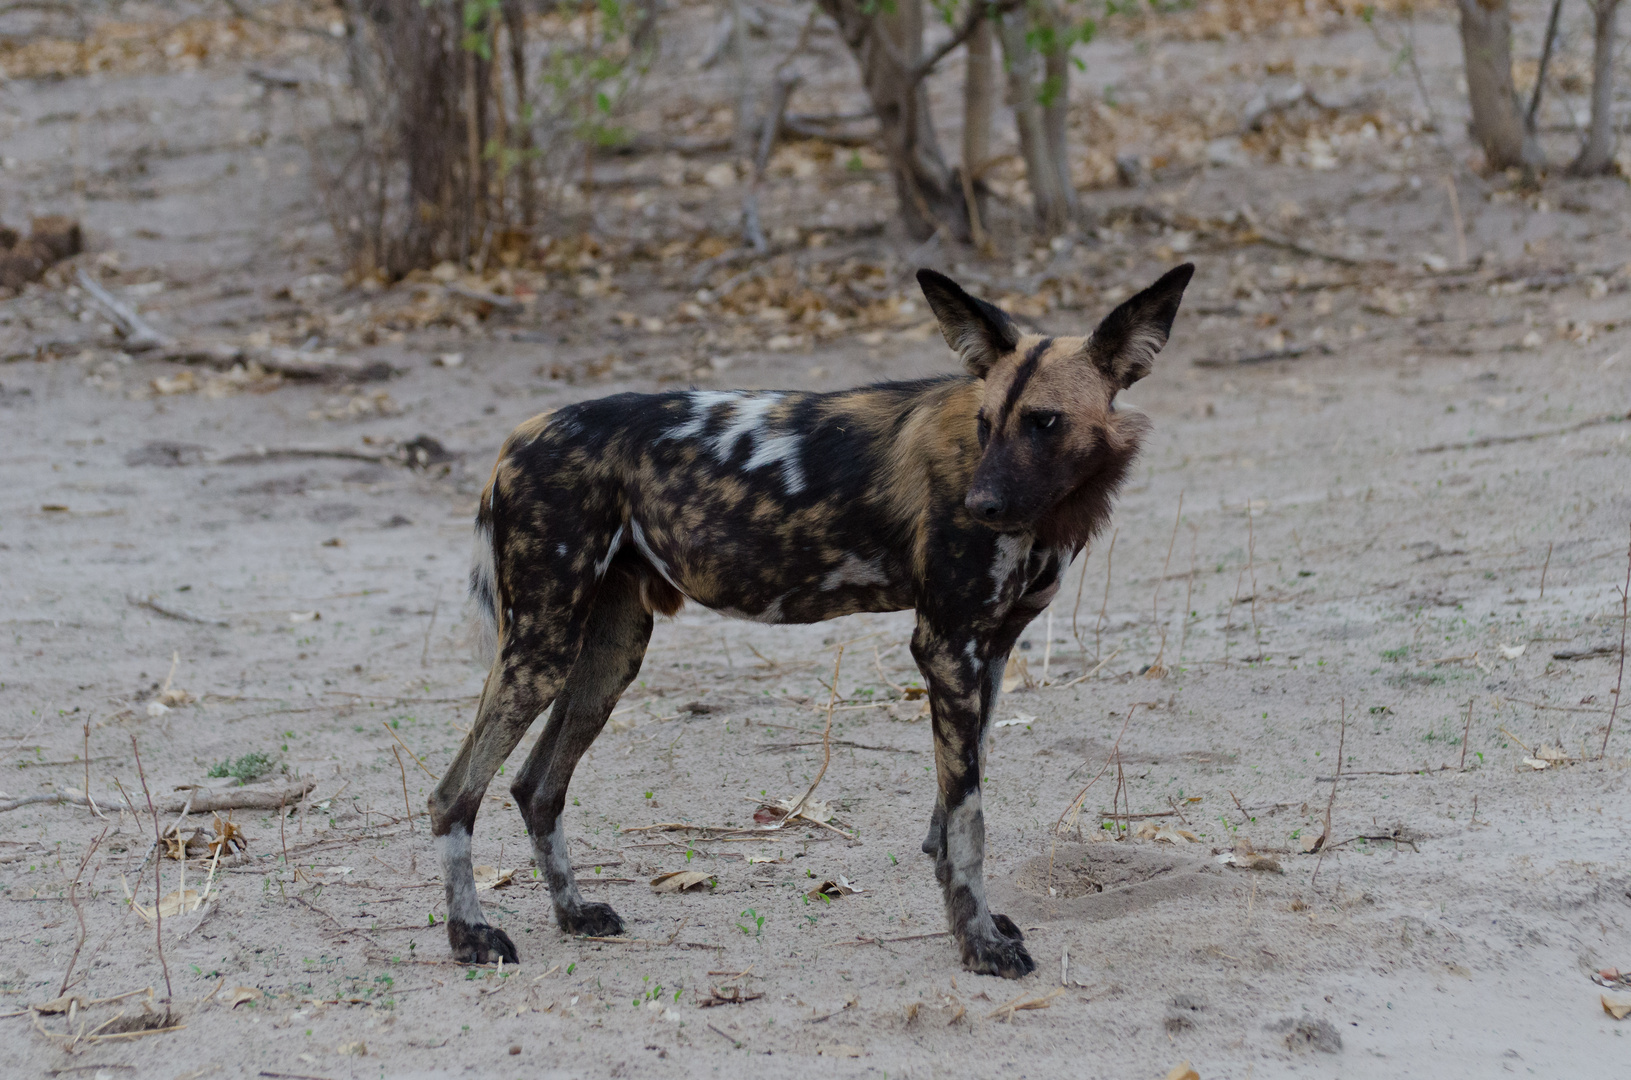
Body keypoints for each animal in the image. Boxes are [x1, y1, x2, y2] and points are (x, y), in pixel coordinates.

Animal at [430, 262, 1200, 978]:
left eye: (1044, 422)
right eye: (987, 426)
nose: (980, 505)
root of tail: (521, 435)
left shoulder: (994, 650)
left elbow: (949, 818)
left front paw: (972, 920)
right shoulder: (947, 647)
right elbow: (969, 822)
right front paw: (979, 945)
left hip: (606, 659)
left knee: (536, 788)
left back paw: (572, 913)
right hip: (541, 651)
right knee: (452, 795)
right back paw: (471, 936)